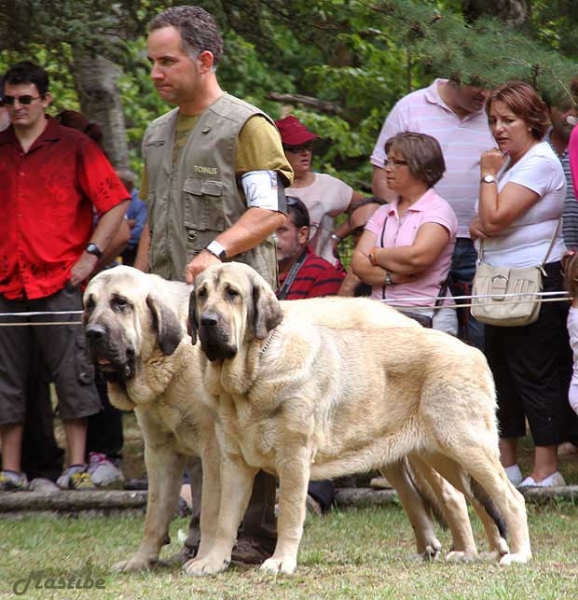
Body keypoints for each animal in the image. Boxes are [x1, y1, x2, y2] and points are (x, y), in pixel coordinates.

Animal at [187, 262, 528, 576]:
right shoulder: (234, 463)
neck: (254, 370)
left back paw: (517, 555)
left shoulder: (294, 459)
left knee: (509, 498)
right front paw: (212, 562)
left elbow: (289, 515)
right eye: (202, 294)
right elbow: (224, 519)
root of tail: (473, 352)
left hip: (466, 444)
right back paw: (479, 552)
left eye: (233, 293)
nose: (207, 321)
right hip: (440, 454)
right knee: (473, 499)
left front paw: (281, 561)